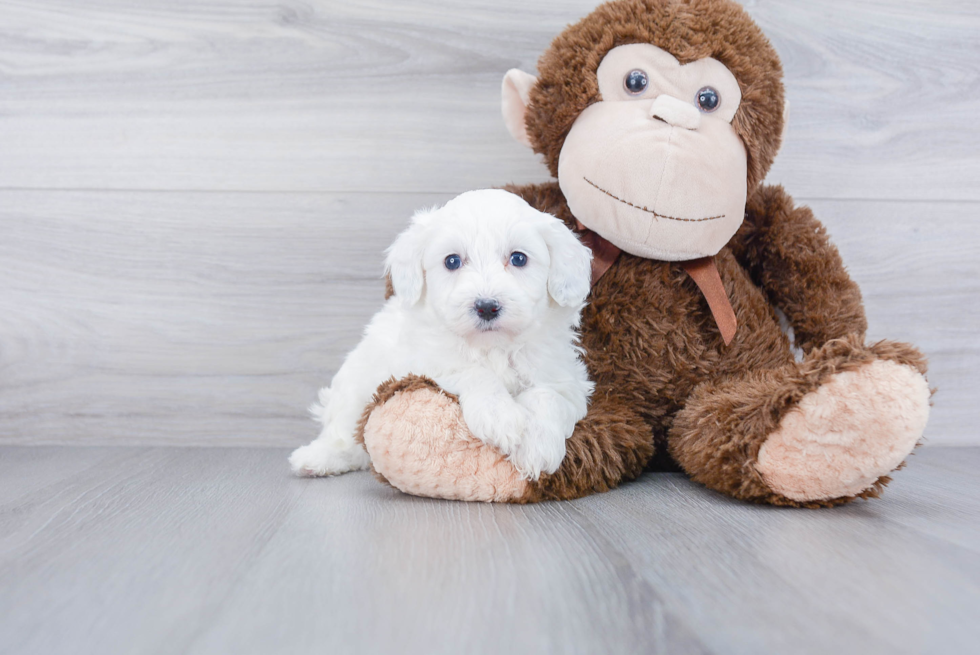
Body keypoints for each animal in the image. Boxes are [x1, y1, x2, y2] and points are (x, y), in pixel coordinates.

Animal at [288, 190, 592, 482]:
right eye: (452, 261)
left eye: (519, 258)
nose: (486, 306)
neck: (492, 346)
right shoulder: (420, 364)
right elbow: (472, 372)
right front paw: (499, 416)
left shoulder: (567, 379)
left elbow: (548, 396)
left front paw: (538, 447)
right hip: (355, 384)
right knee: (346, 433)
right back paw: (317, 459)